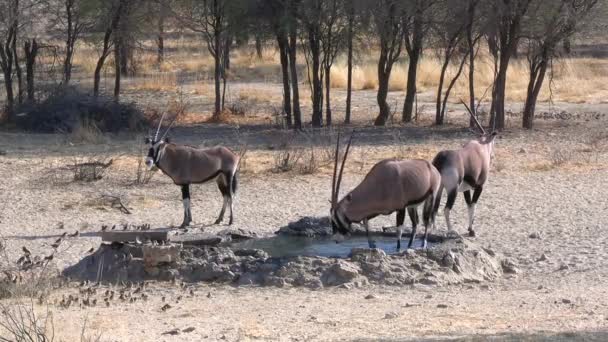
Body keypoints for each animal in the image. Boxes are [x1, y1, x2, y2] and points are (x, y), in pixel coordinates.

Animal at [430, 103, 496, 238]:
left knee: (434, 208)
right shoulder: (479, 186)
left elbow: (468, 205)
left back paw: (433, 230)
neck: (482, 146)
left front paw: (470, 229)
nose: (493, 156)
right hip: (452, 190)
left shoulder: (466, 189)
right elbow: (473, 205)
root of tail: (442, 158)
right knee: (446, 209)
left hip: (439, 189)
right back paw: (451, 230)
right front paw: (471, 230)